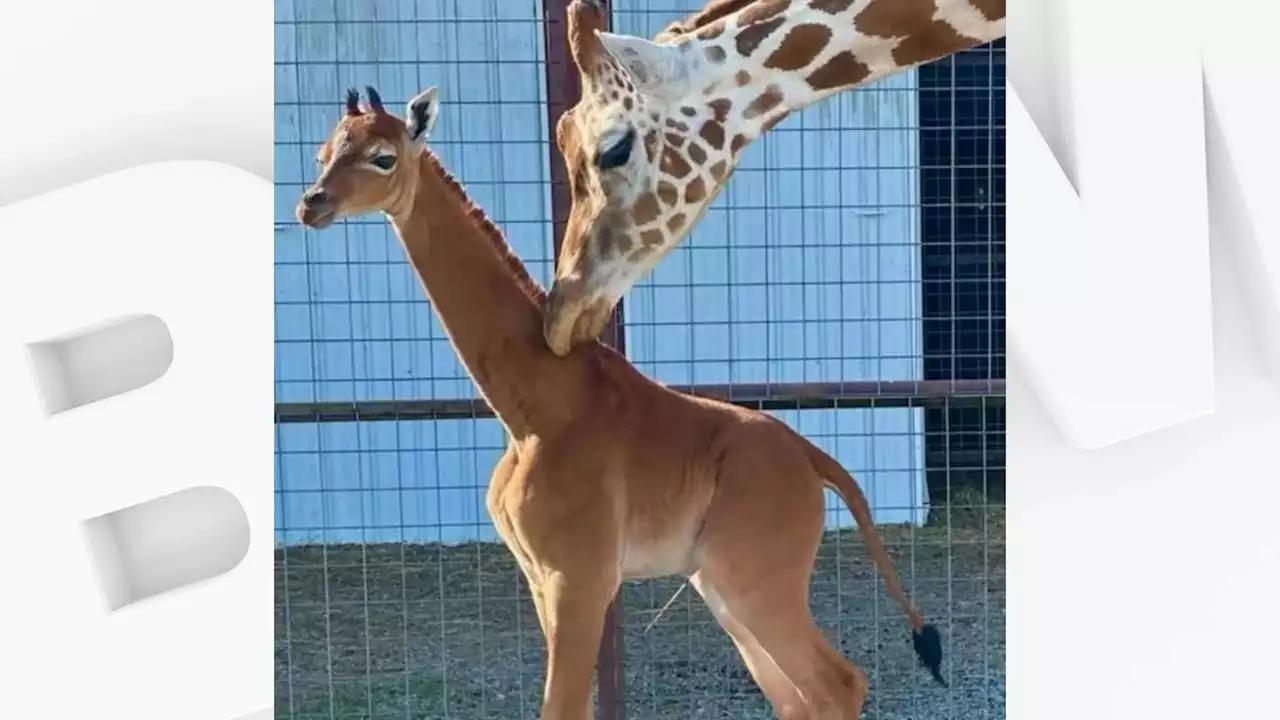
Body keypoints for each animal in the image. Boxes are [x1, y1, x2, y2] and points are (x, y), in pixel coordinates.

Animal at [294, 85, 947, 717]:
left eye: (383, 157)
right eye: (324, 152)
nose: (311, 204)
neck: (532, 407)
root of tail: (815, 460)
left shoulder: (578, 576)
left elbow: (561, 707)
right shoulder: (542, 578)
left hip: (754, 579)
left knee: (837, 684)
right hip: (722, 584)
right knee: (799, 696)